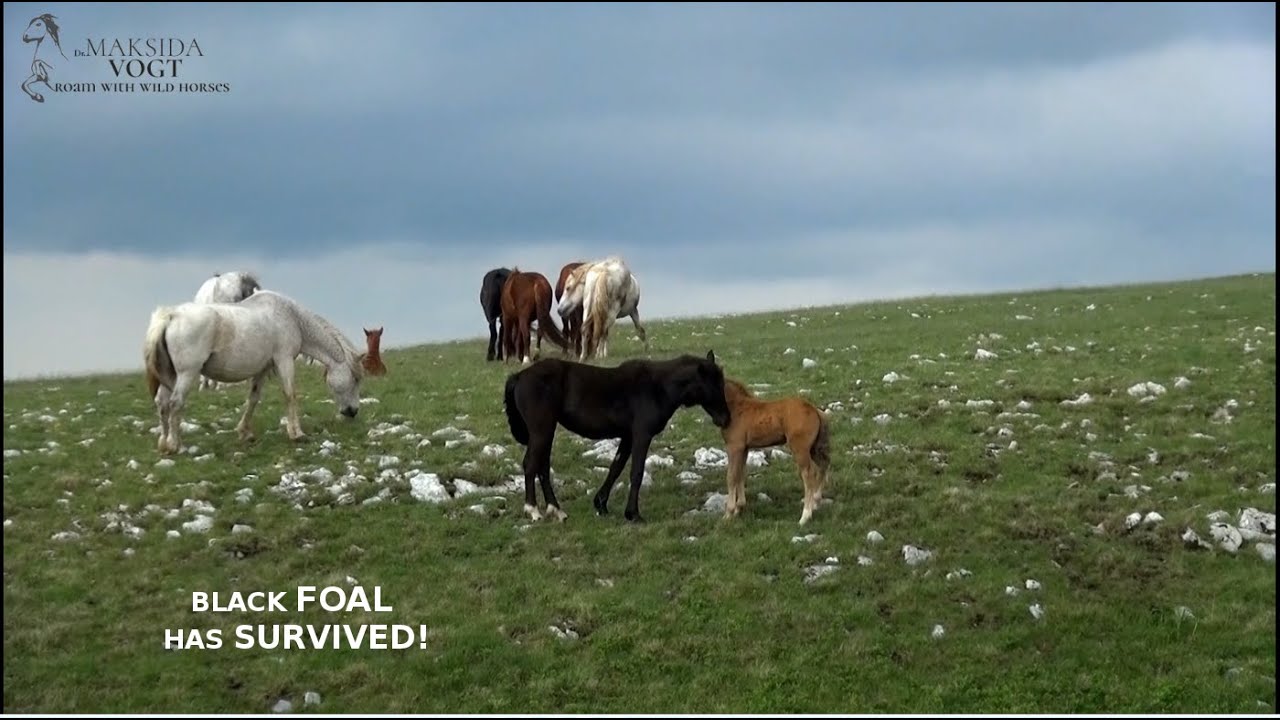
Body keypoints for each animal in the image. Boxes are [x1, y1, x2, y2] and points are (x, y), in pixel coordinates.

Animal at [143, 290, 366, 455]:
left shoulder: (262, 369)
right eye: (355, 378)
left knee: (162, 404)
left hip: (170, 376)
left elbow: (253, 398)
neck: (291, 318)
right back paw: (176, 445)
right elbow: (290, 394)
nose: (352, 411)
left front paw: (245, 432)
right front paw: (297, 433)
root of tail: (171, 317)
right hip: (187, 374)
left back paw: (164, 443)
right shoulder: (284, 360)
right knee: (175, 403)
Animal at [503, 351, 731, 523]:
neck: (659, 387)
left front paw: (601, 505)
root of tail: (520, 376)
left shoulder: (627, 437)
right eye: (714, 386)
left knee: (542, 467)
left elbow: (616, 468)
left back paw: (556, 510)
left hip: (546, 431)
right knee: (531, 464)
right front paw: (633, 514)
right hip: (542, 430)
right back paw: (533, 510)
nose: (725, 419)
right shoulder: (641, 435)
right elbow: (636, 473)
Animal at [720, 379, 831, 525]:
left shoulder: (734, 447)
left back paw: (805, 516)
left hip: (800, 449)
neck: (737, 407)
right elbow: (740, 474)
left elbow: (731, 476)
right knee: (824, 464)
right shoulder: (743, 449)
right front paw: (739, 509)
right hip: (814, 448)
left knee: (809, 473)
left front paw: (728, 514)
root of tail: (815, 410)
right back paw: (816, 502)